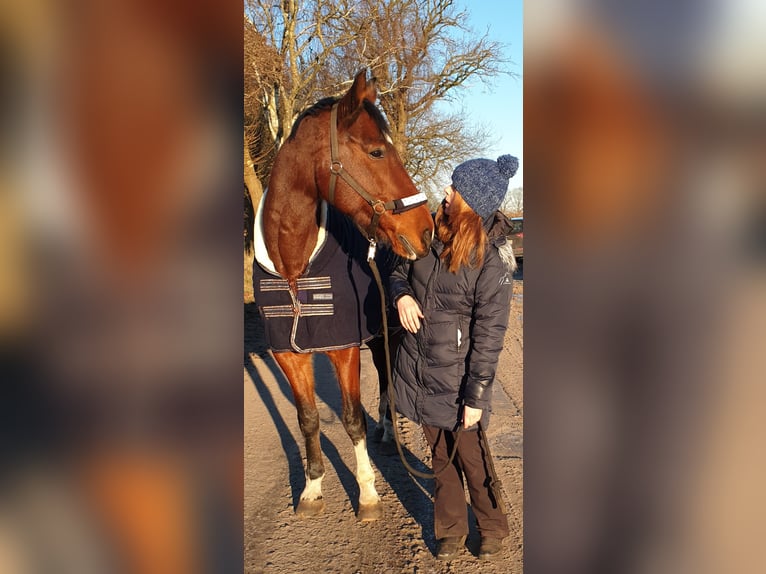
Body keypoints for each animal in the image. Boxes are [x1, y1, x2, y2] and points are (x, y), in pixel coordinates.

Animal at [255, 68, 436, 520]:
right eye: (376, 152)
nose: (425, 231)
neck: (292, 265)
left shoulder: (343, 348)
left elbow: (353, 417)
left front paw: (368, 493)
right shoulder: (287, 353)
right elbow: (307, 418)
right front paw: (312, 488)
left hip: (393, 329)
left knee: (388, 379)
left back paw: (388, 431)